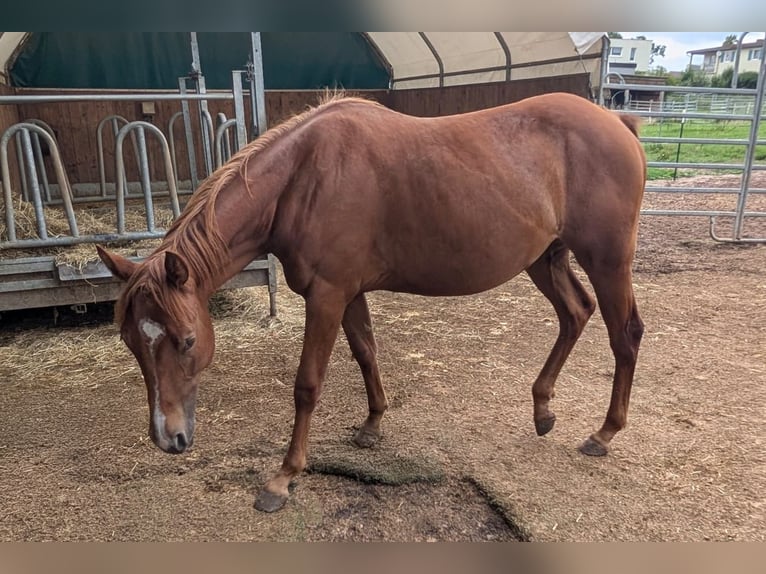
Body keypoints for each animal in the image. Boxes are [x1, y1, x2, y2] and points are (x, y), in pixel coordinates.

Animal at [97, 92, 646, 513]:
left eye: (188, 340)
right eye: (130, 342)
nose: (168, 438)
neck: (303, 177)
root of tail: (616, 122)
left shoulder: (326, 295)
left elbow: (307, 385)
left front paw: (283, 478)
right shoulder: (350, 292)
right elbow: (366, 352)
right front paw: (372, 424)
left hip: (607, 261)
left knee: (625, 335)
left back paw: (604, 433)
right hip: (546, 258)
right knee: (575, 313)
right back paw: (542, 409)